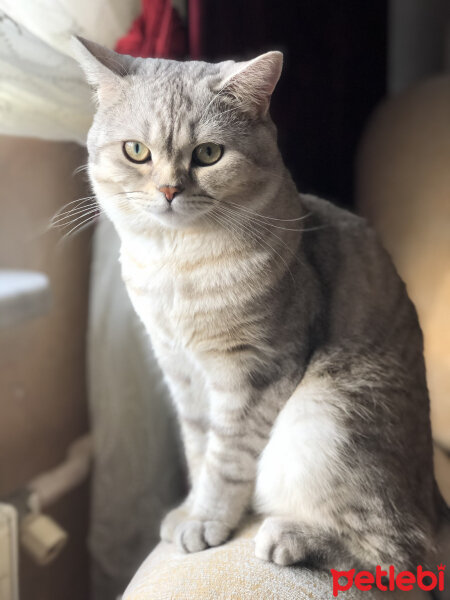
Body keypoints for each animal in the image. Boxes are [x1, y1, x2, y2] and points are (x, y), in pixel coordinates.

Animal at [72, 38, 448, 576]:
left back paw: (290, 538)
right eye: (136, 151)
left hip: (327, 423)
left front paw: (204, 521)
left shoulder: (257, 370)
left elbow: (226, 459)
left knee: (403, 552)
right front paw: (190, 508)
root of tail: (436, 502)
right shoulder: (180, 370)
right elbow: (199, 448)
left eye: (208, 154)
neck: (177, 265)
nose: (168, 190)